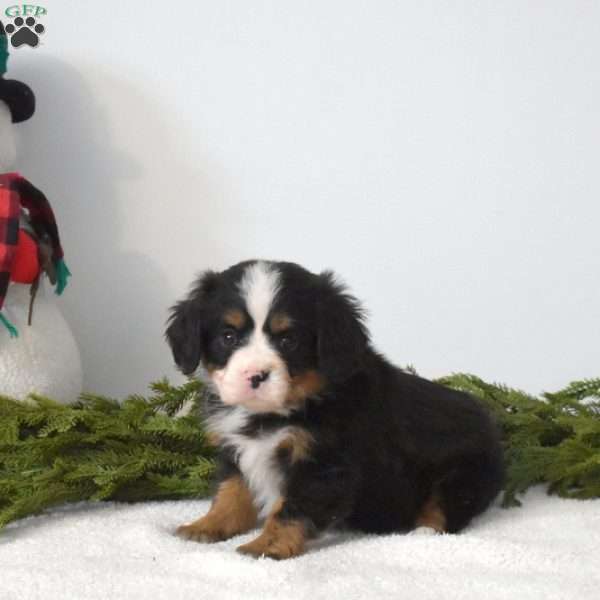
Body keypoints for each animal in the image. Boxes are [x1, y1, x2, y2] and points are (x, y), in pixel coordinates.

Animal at [166, 260, 504, 560]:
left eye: (288, 340)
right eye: (228, 337)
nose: (256, 375)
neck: (280, 411)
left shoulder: (324, 464)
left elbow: (290, 509)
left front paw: (266, 545)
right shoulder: (235, 450)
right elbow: (230, 493)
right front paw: (206, 525)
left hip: (462, 476)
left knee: (446, 508)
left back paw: (422, 533)